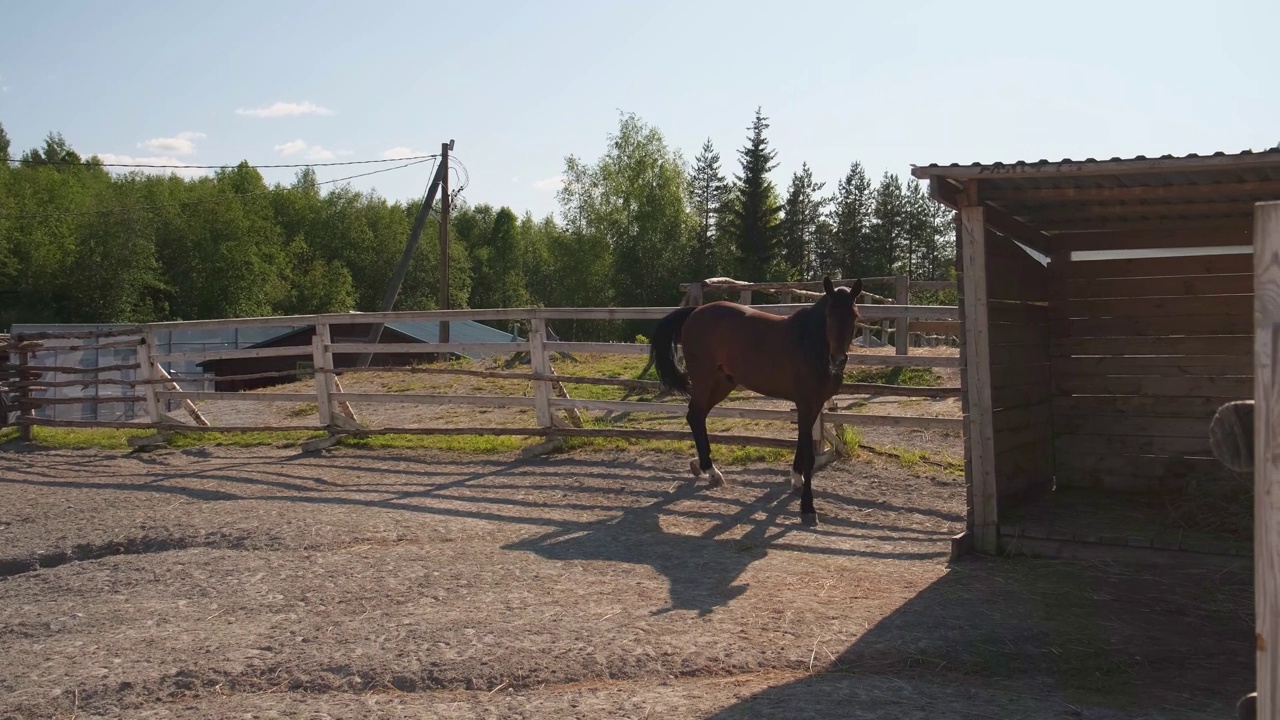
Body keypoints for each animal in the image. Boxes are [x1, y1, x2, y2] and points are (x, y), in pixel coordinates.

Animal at [645, 274, 865, 520]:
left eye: (854, 315)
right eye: (828, 315)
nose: (838, 359)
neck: (809, 344)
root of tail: (695, 312)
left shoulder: (813, 406)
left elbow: (801, 445)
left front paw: (796, 481)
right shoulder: (806, 404)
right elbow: (808, 455)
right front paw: (808, 507)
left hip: (722, 383)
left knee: (697, 417)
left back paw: (703, 467)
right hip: (705, 380)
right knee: (695, 416)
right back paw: (711, 471)